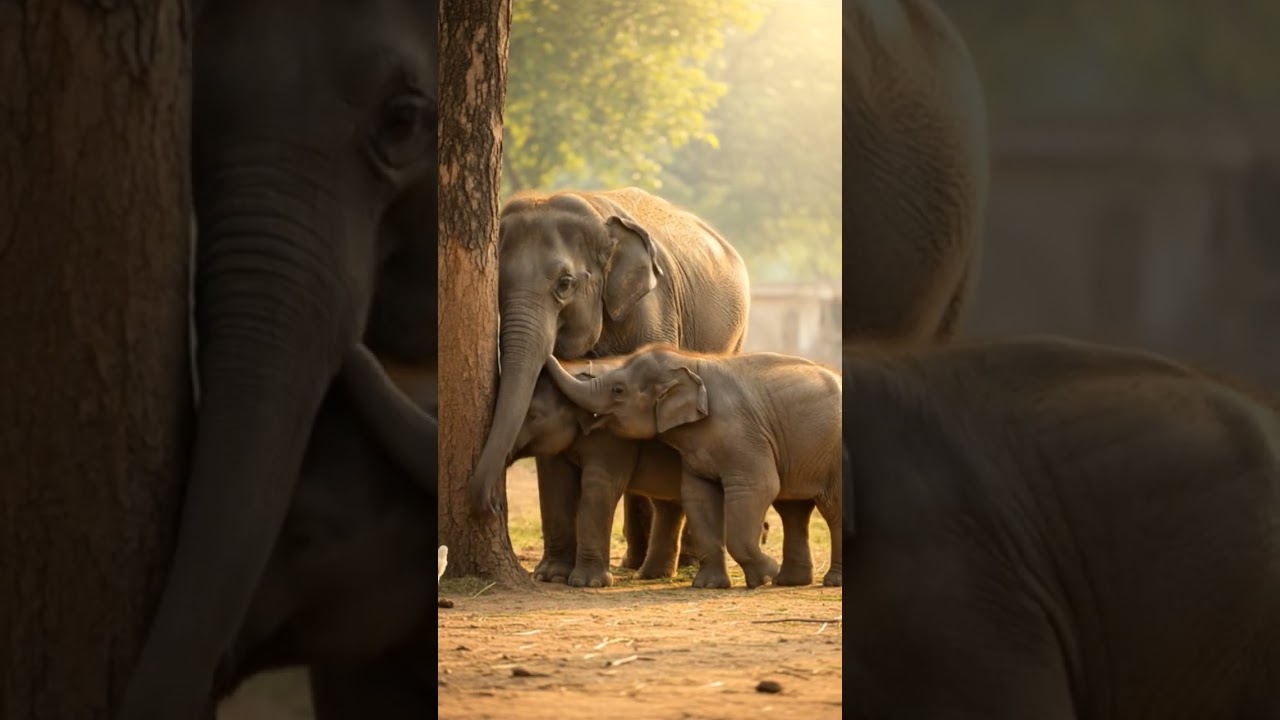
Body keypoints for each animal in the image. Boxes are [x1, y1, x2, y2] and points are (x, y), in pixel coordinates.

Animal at [467, 187, 752, 587]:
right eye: (497, 288)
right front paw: (551, 575)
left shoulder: (652, 312)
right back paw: (635, 562)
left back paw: (679, 563)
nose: (491, 505)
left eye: (565, 284)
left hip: (736, 336)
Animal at [545, 344, 843, 589]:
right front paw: (709, 585)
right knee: (793, 509)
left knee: (832, 509)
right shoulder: (695, 449)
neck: (691, 362)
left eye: (618, 390)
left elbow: (759, 487)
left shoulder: (744, 436)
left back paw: (830, 582)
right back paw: (790, 581)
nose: (548, 357)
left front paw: (765, 575)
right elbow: (697, 497)